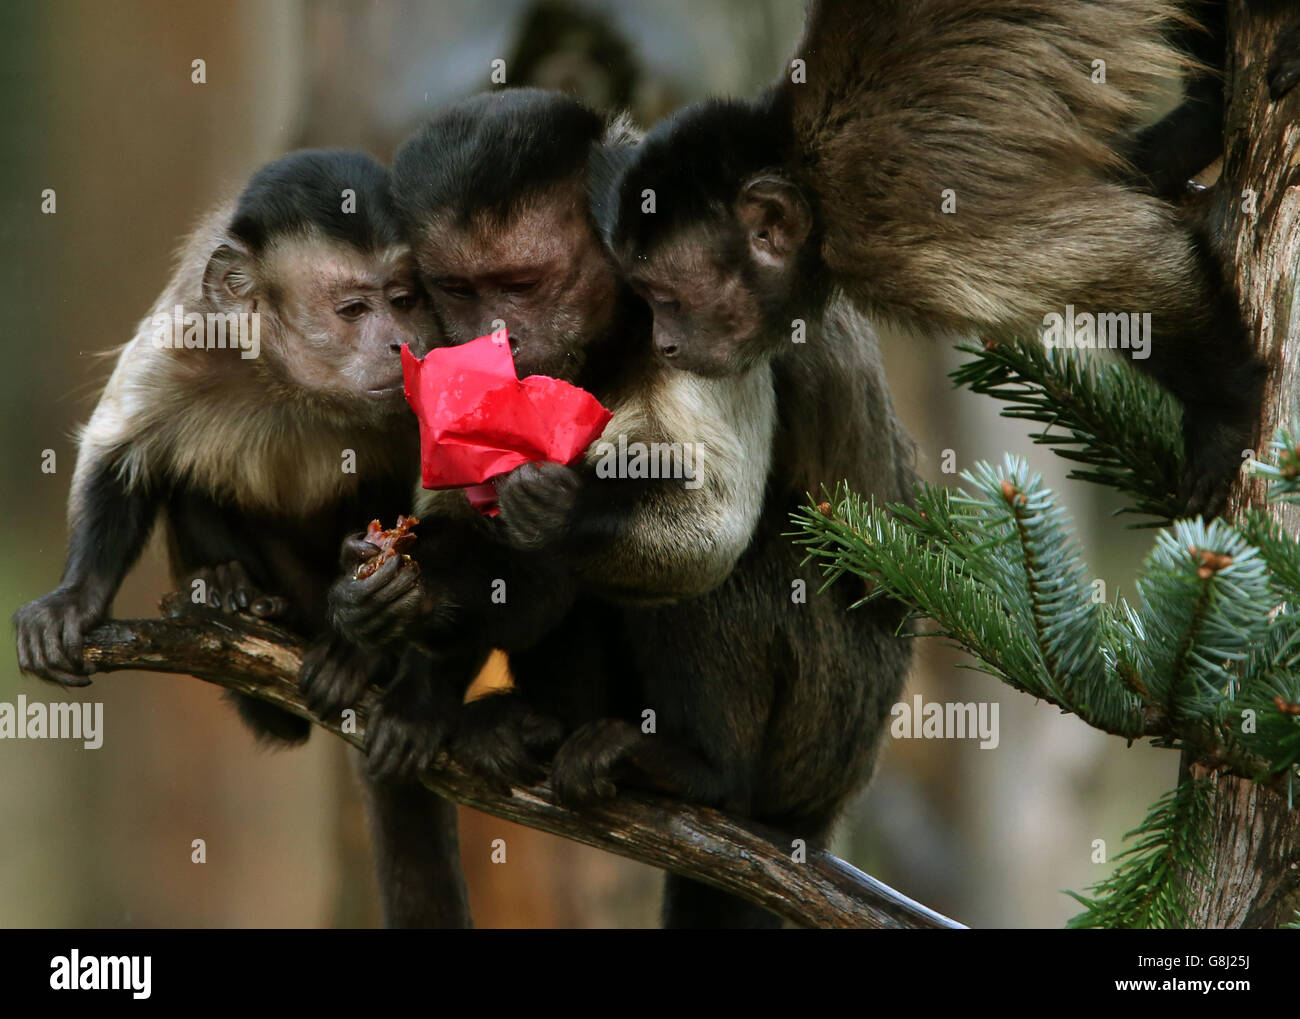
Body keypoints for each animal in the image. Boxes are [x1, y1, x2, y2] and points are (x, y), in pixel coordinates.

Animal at [12, 153, 470, 930]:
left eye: (406, 299)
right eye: (354, 310)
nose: (398, 342)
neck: (289, 382)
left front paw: (393, 651)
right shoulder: (185, 338)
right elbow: (121, 454)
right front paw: (76, 597)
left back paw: (360, 651)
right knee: (188, 471)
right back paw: (230, 594)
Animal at [315, 91, 920, 925]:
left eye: (522, 283)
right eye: (459, 289)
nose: (498, 333)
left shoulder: (701, 307)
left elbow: (711, 519)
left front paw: (560, 510)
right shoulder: (435, 340)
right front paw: (393, 604)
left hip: (831, 718)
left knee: (733, 569)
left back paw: (699, 771)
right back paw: (527, 724)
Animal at [598, 0, 1289, 514]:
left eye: (666, 299)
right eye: (647, 302)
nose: (663, 344)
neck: (807, 169)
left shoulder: (884, 230)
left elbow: (1129, 253)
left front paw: (1223, 415)